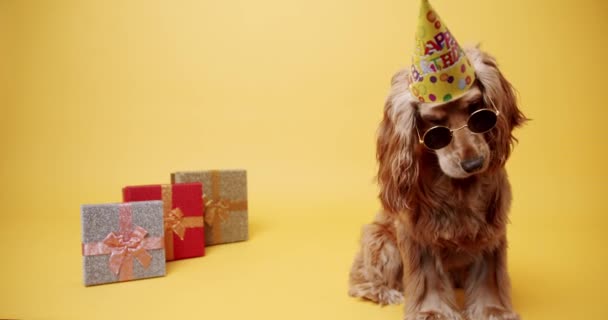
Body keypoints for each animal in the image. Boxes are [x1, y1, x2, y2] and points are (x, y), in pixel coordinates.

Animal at [350, 45, 524, 320]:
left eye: (477, 110)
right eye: (435, 125)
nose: (473, 163)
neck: (459, 187)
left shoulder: (491, 226)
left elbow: (489, 275)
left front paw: (493, 310)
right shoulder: (420, 233)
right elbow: (428, 277)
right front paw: (432, 311)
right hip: (379, 241)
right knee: (361, 278)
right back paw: (385, 291)